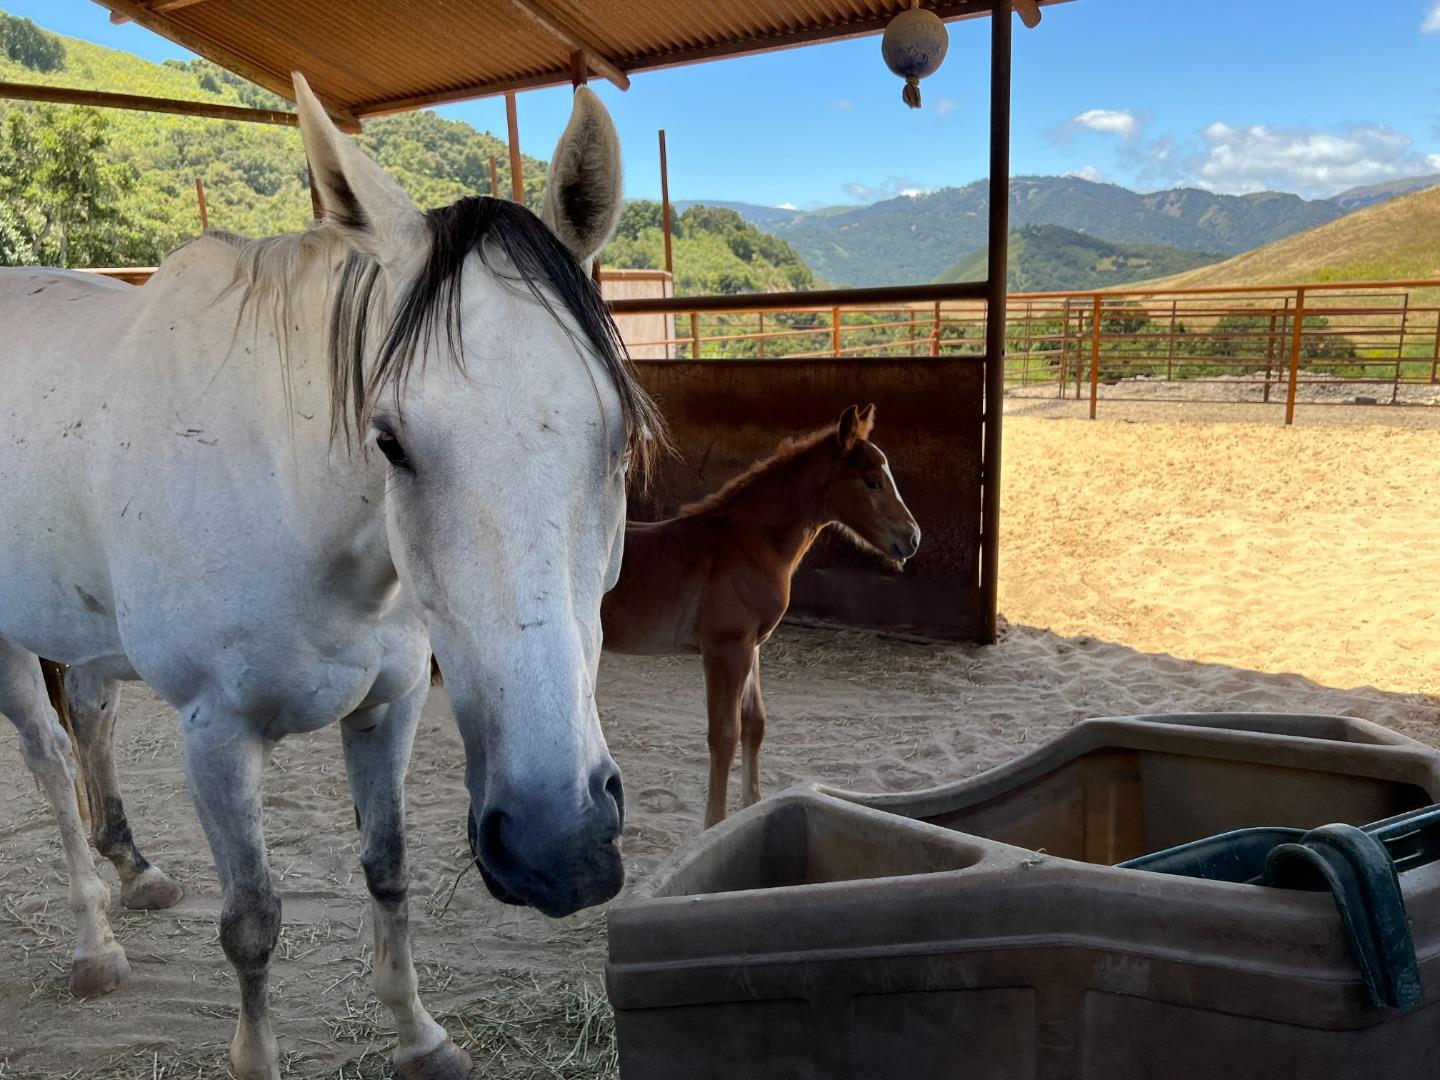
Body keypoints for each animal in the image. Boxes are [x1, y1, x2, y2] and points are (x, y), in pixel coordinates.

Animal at [1, 78, 659, 1080]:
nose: (560, 846)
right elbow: (252, 923)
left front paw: (421, 1037)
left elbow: (387, 870)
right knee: (47, 752)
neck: (288, 503)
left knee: (87, 709)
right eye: (389, 440)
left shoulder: (391, 703)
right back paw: (93, 942)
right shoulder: (215, 736)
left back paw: (136, 871)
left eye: (619, 434)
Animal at [599, 406, 915, 829]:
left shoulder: (753, 646)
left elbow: (754, 723)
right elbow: (724, 733)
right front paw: (714, 823)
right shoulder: (725, 648)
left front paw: (751, 805)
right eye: (872, 482)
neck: (748, 542)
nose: (912, 538)